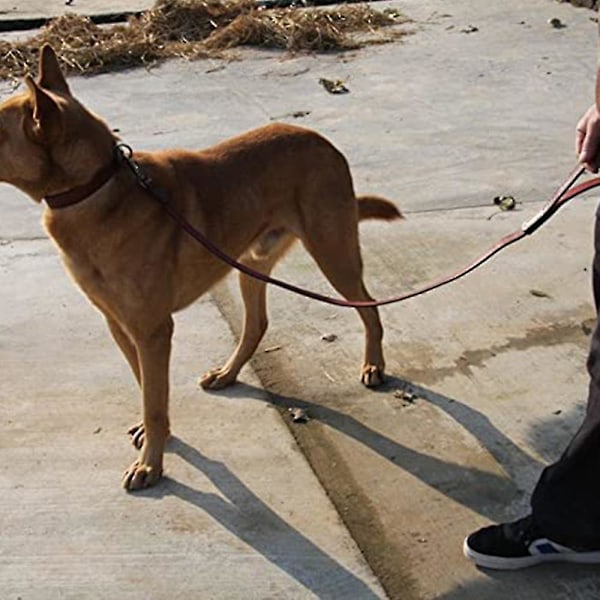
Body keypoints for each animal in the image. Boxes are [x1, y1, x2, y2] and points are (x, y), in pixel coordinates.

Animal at [2, 45, 404, 488]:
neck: (98, 186)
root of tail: (323, 142)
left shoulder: (153, 331)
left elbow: (154, 400)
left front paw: (151, 463)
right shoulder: (121, 325)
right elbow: (146, 388)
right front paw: (156, 438)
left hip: (334, 255)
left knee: (369, 307)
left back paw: (374, 364)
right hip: (251, 264)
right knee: (257, 324)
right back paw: (228, 373)